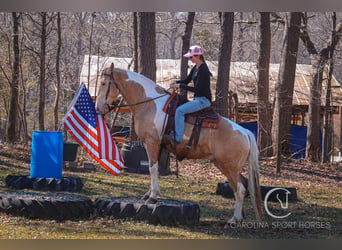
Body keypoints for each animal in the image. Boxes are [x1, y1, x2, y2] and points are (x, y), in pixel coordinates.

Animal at [95, 62, 262, 227]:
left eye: (103, 83)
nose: (98, 108)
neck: (150, 103)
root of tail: (245, 132)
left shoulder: (152, 142)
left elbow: (152, 168)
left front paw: (153, 196)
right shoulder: (158, 146)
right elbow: (154, 169)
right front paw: (149, 194)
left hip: (229, 167)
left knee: (240, 189)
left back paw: (233, 219)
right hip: (225, 165)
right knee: (242, 186)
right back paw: (239, 218)